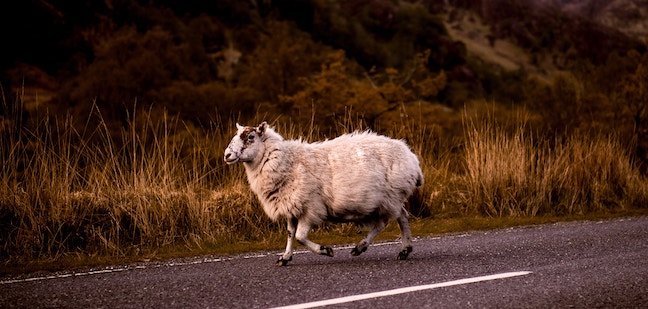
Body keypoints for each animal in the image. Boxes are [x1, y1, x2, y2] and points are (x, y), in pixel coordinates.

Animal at [224, 121, 426, 264]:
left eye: (250, 137)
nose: (226, 155)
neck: (288, 161)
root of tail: (412, 157)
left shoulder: (310, 208)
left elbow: (300, 236)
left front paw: (325, 251)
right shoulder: (291, 205)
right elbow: (290, 233)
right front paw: (285, 257)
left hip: (388, 198)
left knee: (386, 222)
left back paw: (362, 247)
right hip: (388, 200)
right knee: (401, 217)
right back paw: (404, 250)